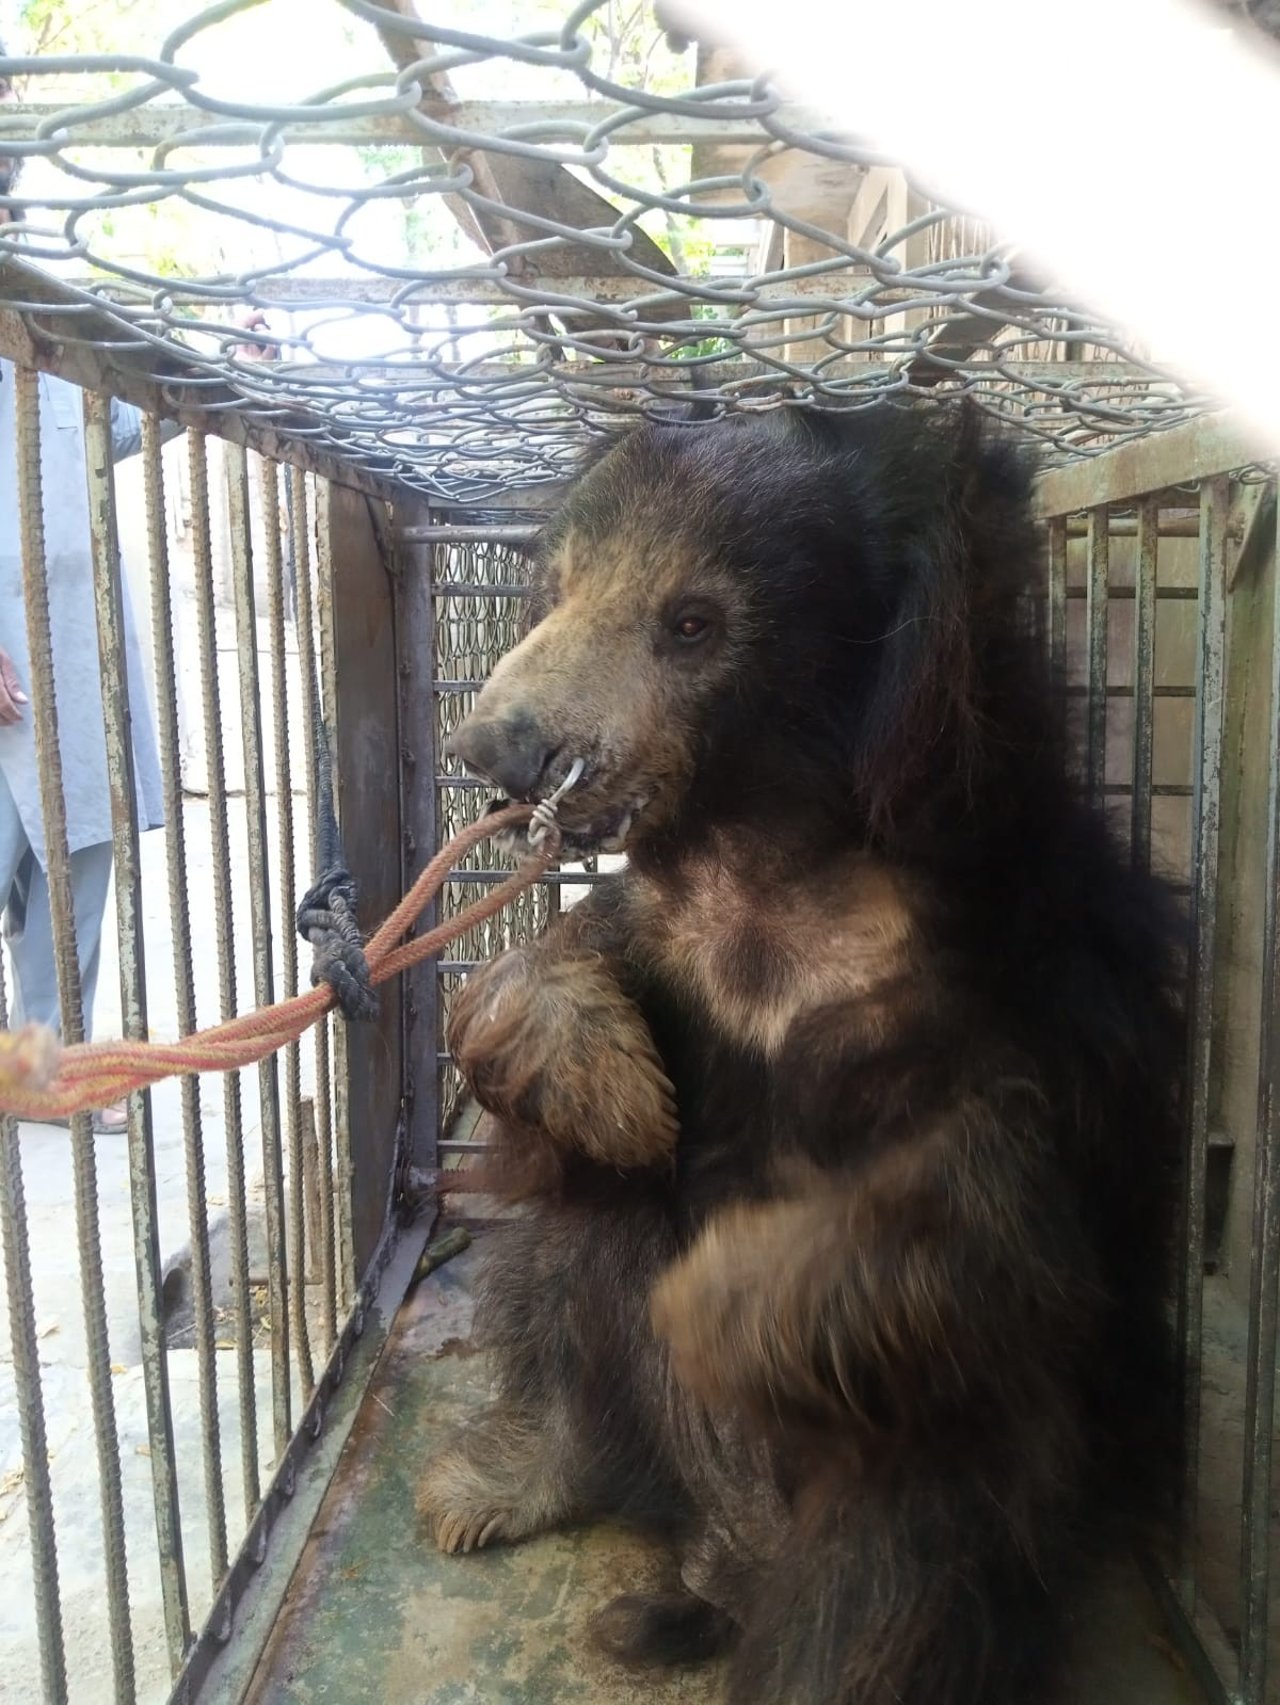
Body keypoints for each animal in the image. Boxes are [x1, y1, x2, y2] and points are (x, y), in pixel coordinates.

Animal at [420, 402, 1179, 1705]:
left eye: (691, 622)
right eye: (556, 591)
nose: (488, 750)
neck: (761, 846)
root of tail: (724, 1553)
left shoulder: (1028, 990)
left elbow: (990, 1201)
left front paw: (718, 1298)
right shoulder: (661, 928)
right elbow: (547, 985)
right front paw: (607, 1085)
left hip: (941, 1485)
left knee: (889, 1573)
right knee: (570, 1248)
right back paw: (497, 1484)